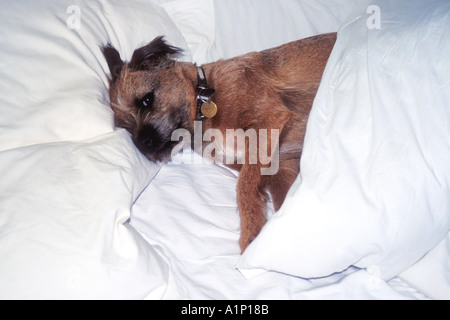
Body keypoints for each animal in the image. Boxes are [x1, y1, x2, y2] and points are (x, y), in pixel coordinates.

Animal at [102, 33, 338, 252]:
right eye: (125, 126)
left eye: (147, 100)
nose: (143, 143)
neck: (206, 98)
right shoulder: (280, 166)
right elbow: (283, 200)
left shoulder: (268, 121)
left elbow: (244, 187)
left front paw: (251, 236)